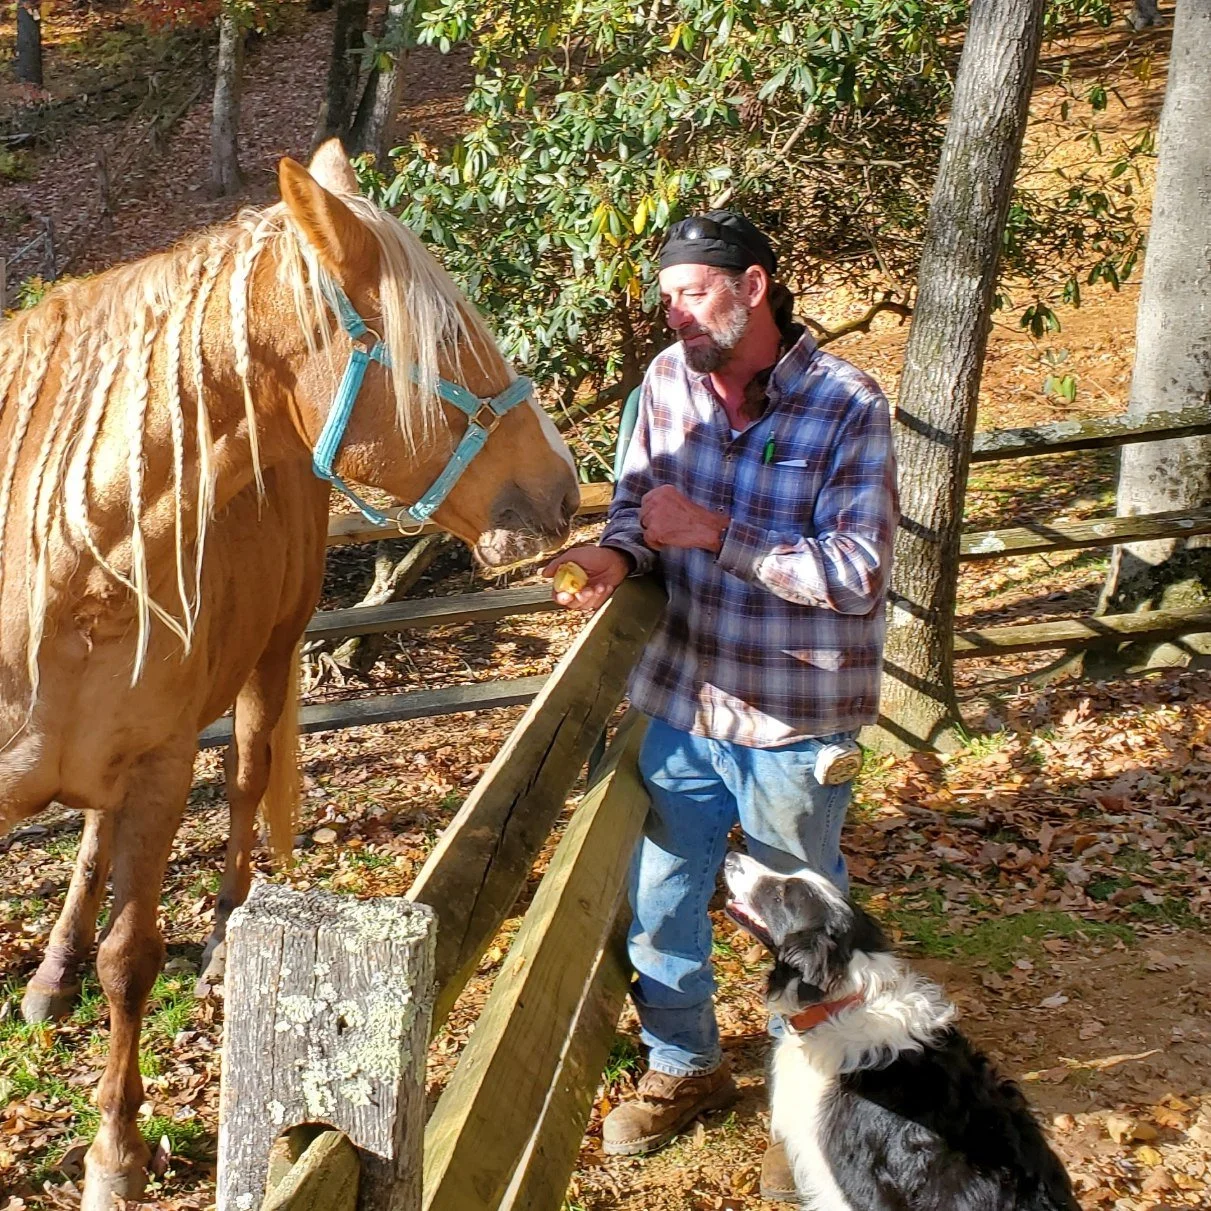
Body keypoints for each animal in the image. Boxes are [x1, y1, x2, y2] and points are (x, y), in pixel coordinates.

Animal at [0, 139, 578, 1210]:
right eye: (450, 343)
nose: (563, 488)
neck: (55, 562)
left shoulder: (160, 767)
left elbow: (132, 959)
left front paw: (114, 1155)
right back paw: (52, 968)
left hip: (266, 664)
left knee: (243, 779)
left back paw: (222, 945)